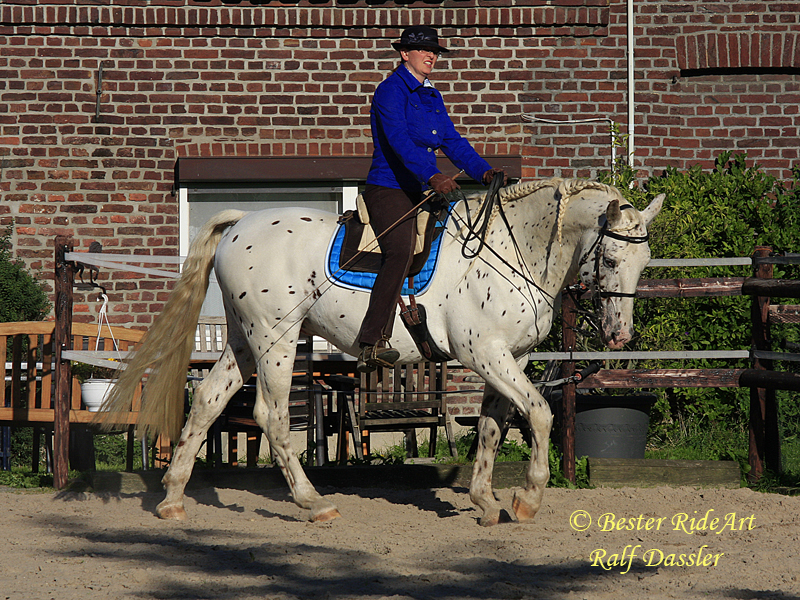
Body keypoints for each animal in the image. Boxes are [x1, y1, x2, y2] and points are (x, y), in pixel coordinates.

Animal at [100, 177, 664, 524]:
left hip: (243, 341)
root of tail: (241, 223)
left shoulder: (513, 359)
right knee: (272, 417)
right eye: (610, 259)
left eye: (643, 262)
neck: (511, 249)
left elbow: (491, 426)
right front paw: (527, 498)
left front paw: (485, 501)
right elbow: (542, 414)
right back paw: (313, 503)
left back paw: (173, 499)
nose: (619, 337)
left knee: (207, 402)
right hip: (275, 339)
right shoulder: (485, 354)